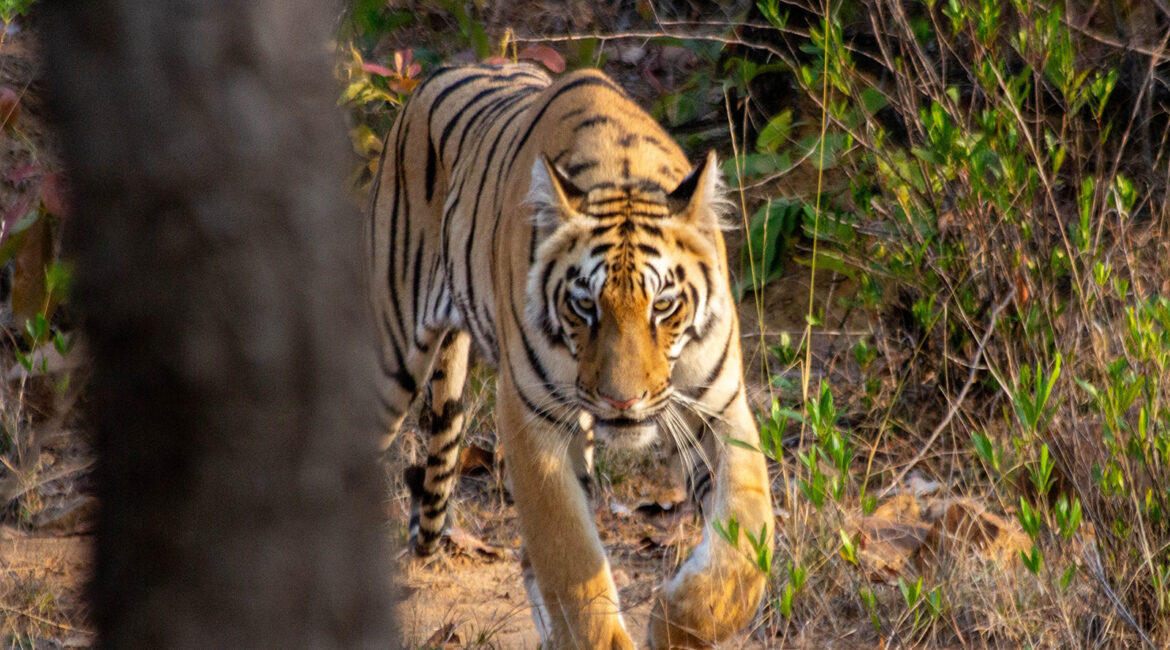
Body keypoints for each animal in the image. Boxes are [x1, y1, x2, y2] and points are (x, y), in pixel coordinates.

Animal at [369, 64, 776, 650]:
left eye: (663, 305)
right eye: (585, 305)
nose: (623, 402)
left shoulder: (717, 406)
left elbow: (746, 540)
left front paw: (676, 622)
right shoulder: (531, 419)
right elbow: (570, 559)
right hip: (389, 358)